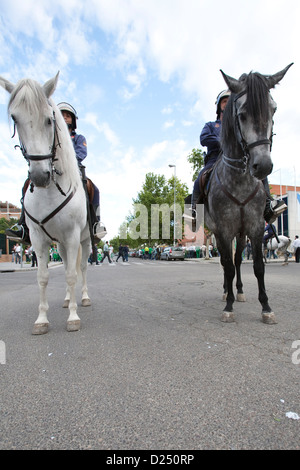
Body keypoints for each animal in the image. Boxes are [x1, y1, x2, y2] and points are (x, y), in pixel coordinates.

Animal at [0, 72, 91, 334]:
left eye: (50, 120)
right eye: (15, 118)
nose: (40, 176)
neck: (50, 190)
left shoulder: (73, 235)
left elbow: (71, 275)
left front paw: (73, 318)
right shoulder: (39, 238)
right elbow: (42, 277)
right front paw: (42, 319)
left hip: (84, 240)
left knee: (81, 268)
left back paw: (82, 298)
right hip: (59, 243)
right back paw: (68, 300)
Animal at [205, 64, 292, 324]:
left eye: (273, 110)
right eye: (242, 114)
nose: (262, 166)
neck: (239, 180)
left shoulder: (253, 227)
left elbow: (257, 266)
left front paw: (266, 306)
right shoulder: (224, 230)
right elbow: (227, 266)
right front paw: (229, 306)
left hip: (241, 233)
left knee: (236, 260)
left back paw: (239, 291)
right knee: (226, 263)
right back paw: (227, 292)